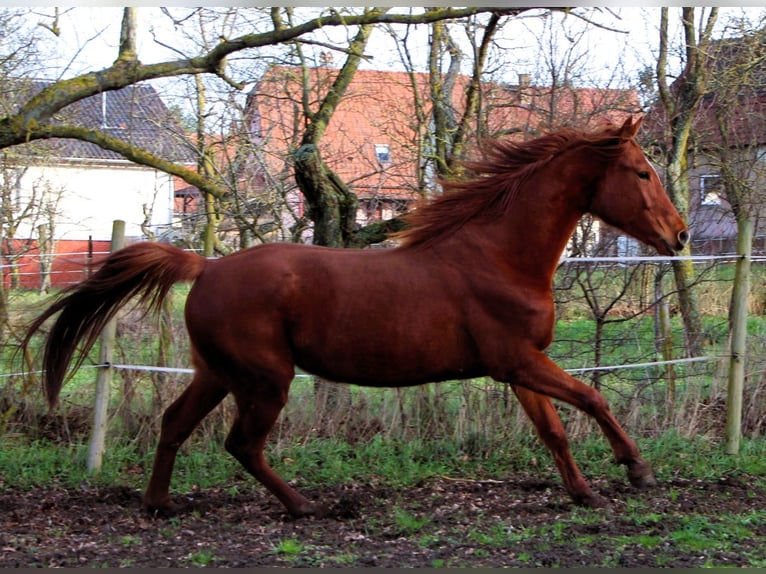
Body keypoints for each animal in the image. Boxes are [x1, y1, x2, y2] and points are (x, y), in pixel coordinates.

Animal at [22, 116, 688, 517]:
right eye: (642, 172)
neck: (499, 256)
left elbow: (554, 429)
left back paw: (160, 504)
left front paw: (583, 493)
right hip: (265, 378)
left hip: (217, 373)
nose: (679, 235)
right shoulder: (519, 361)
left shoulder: (519, 368)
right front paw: (637, 469)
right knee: (241, 443)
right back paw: (303, 505)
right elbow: (593, 398)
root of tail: (205, 266)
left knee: (175, 424)